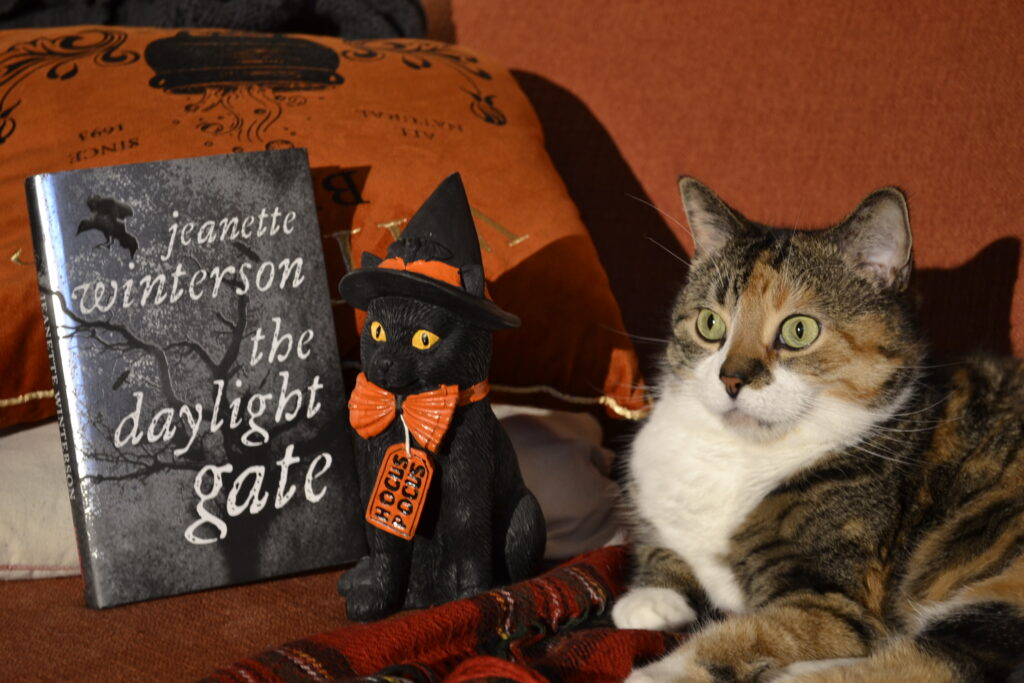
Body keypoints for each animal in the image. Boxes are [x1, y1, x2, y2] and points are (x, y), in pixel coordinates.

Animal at [610, 178, 1024, 683]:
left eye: (799, 330)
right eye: (710, 324)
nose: (731, 379)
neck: (741, 453)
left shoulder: (835, 603)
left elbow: (754, 632)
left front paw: (659, 670)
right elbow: (660, 544)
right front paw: (650, 599)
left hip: (1005, 588)